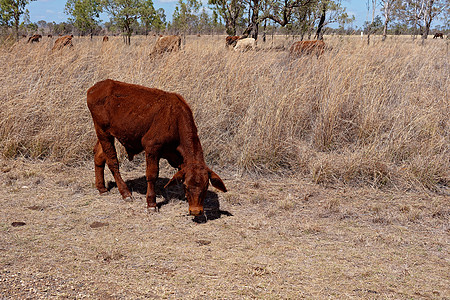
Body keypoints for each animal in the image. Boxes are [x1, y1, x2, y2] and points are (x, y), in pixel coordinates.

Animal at [87, 79, 229, 216]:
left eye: (205, 188)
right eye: (187, 186)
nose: (196, 211)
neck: (175, 120)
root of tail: (96, 87)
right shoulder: (152, 147)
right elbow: (152, 175)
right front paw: (151, 204)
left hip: (105, 134)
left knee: (99, 155)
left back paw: (101, 188)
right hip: (103, 132)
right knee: (112, 162)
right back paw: (125, 193)